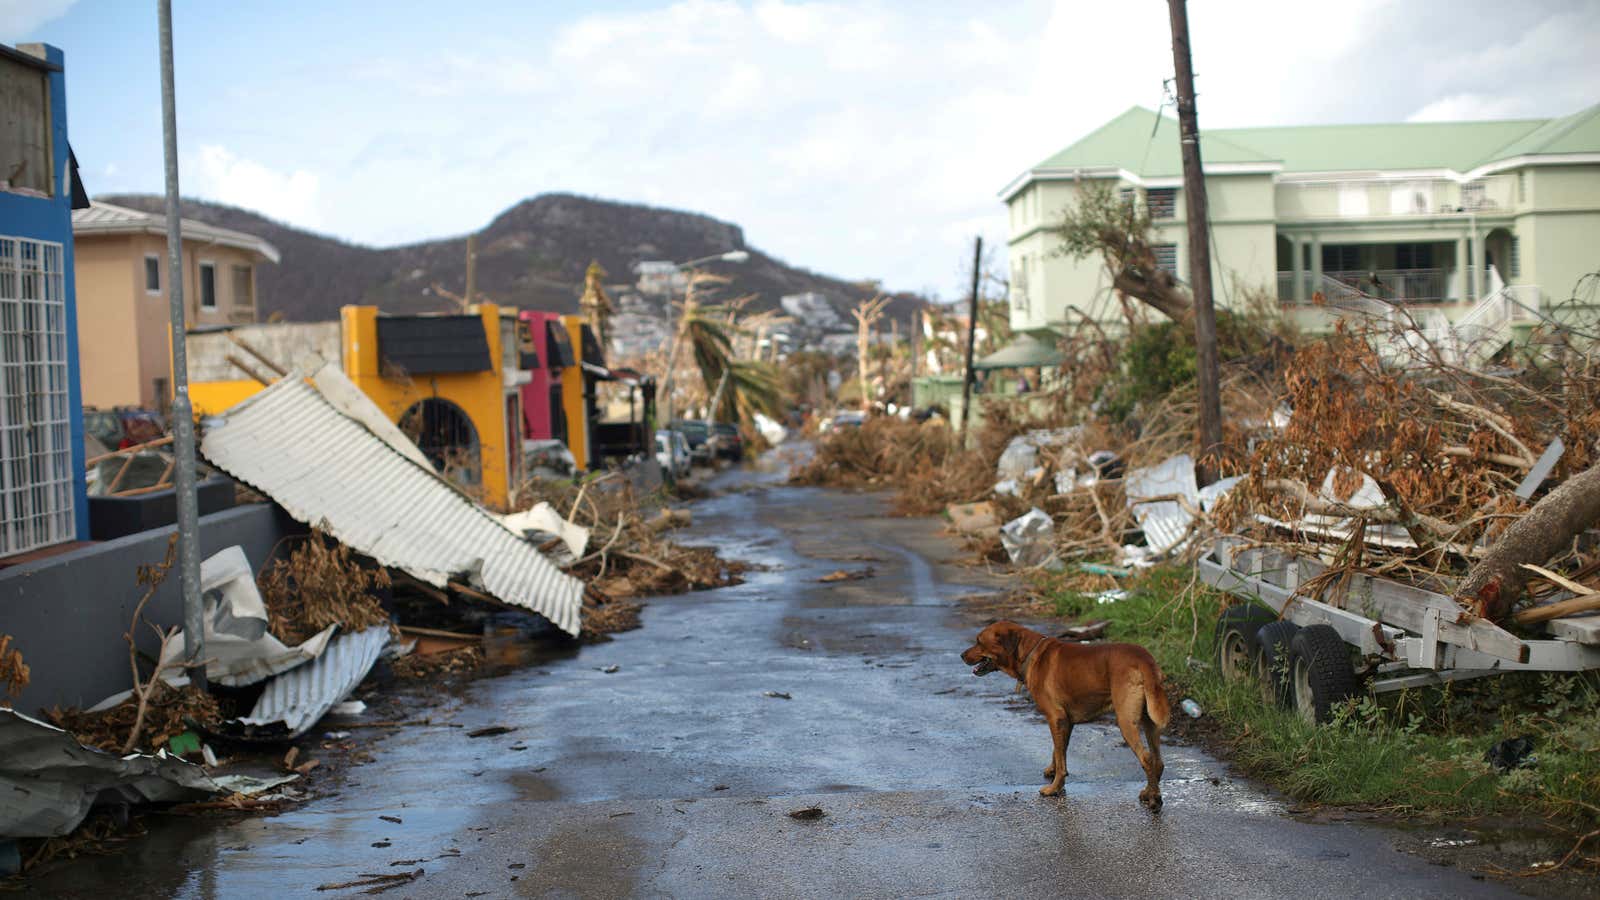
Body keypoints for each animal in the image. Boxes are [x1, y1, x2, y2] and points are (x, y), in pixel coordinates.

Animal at [953, 614, 1171, 807]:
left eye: (979, 641)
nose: (961, 655)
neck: (1029, 654)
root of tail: (1144, 659)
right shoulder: (1065, 720)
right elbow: (1058, 751)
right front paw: (1052, 771)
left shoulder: (1055, 717)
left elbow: (1060, 757)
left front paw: (1054, 788)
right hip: (1149, 721)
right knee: (1158, 761)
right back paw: (1150, 791)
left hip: (1126, 721)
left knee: (1147, 758)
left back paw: (1154, 799)